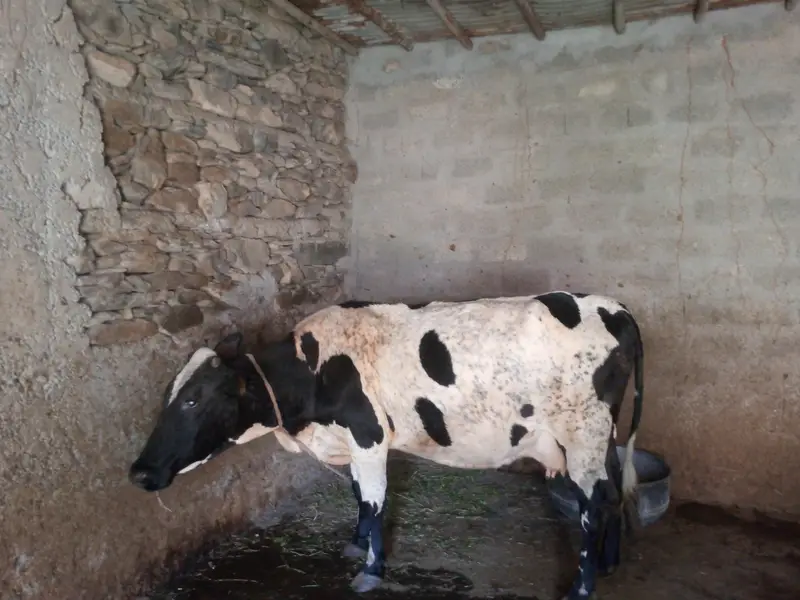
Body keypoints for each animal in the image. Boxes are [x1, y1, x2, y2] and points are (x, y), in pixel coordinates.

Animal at [128, 291, 644, 600]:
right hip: (602, 436)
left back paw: (582, 587)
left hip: (582, 433)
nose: (138, 471)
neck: (313, 370)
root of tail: (613, 306)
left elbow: (375, 501)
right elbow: (358, 493)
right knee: (612, 495)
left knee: (593, 504)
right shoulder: (355, 442)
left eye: (194, 398)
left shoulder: (369, 434)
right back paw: (610, 564)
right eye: (170, 392)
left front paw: (371, 570)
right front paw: (356, 543)